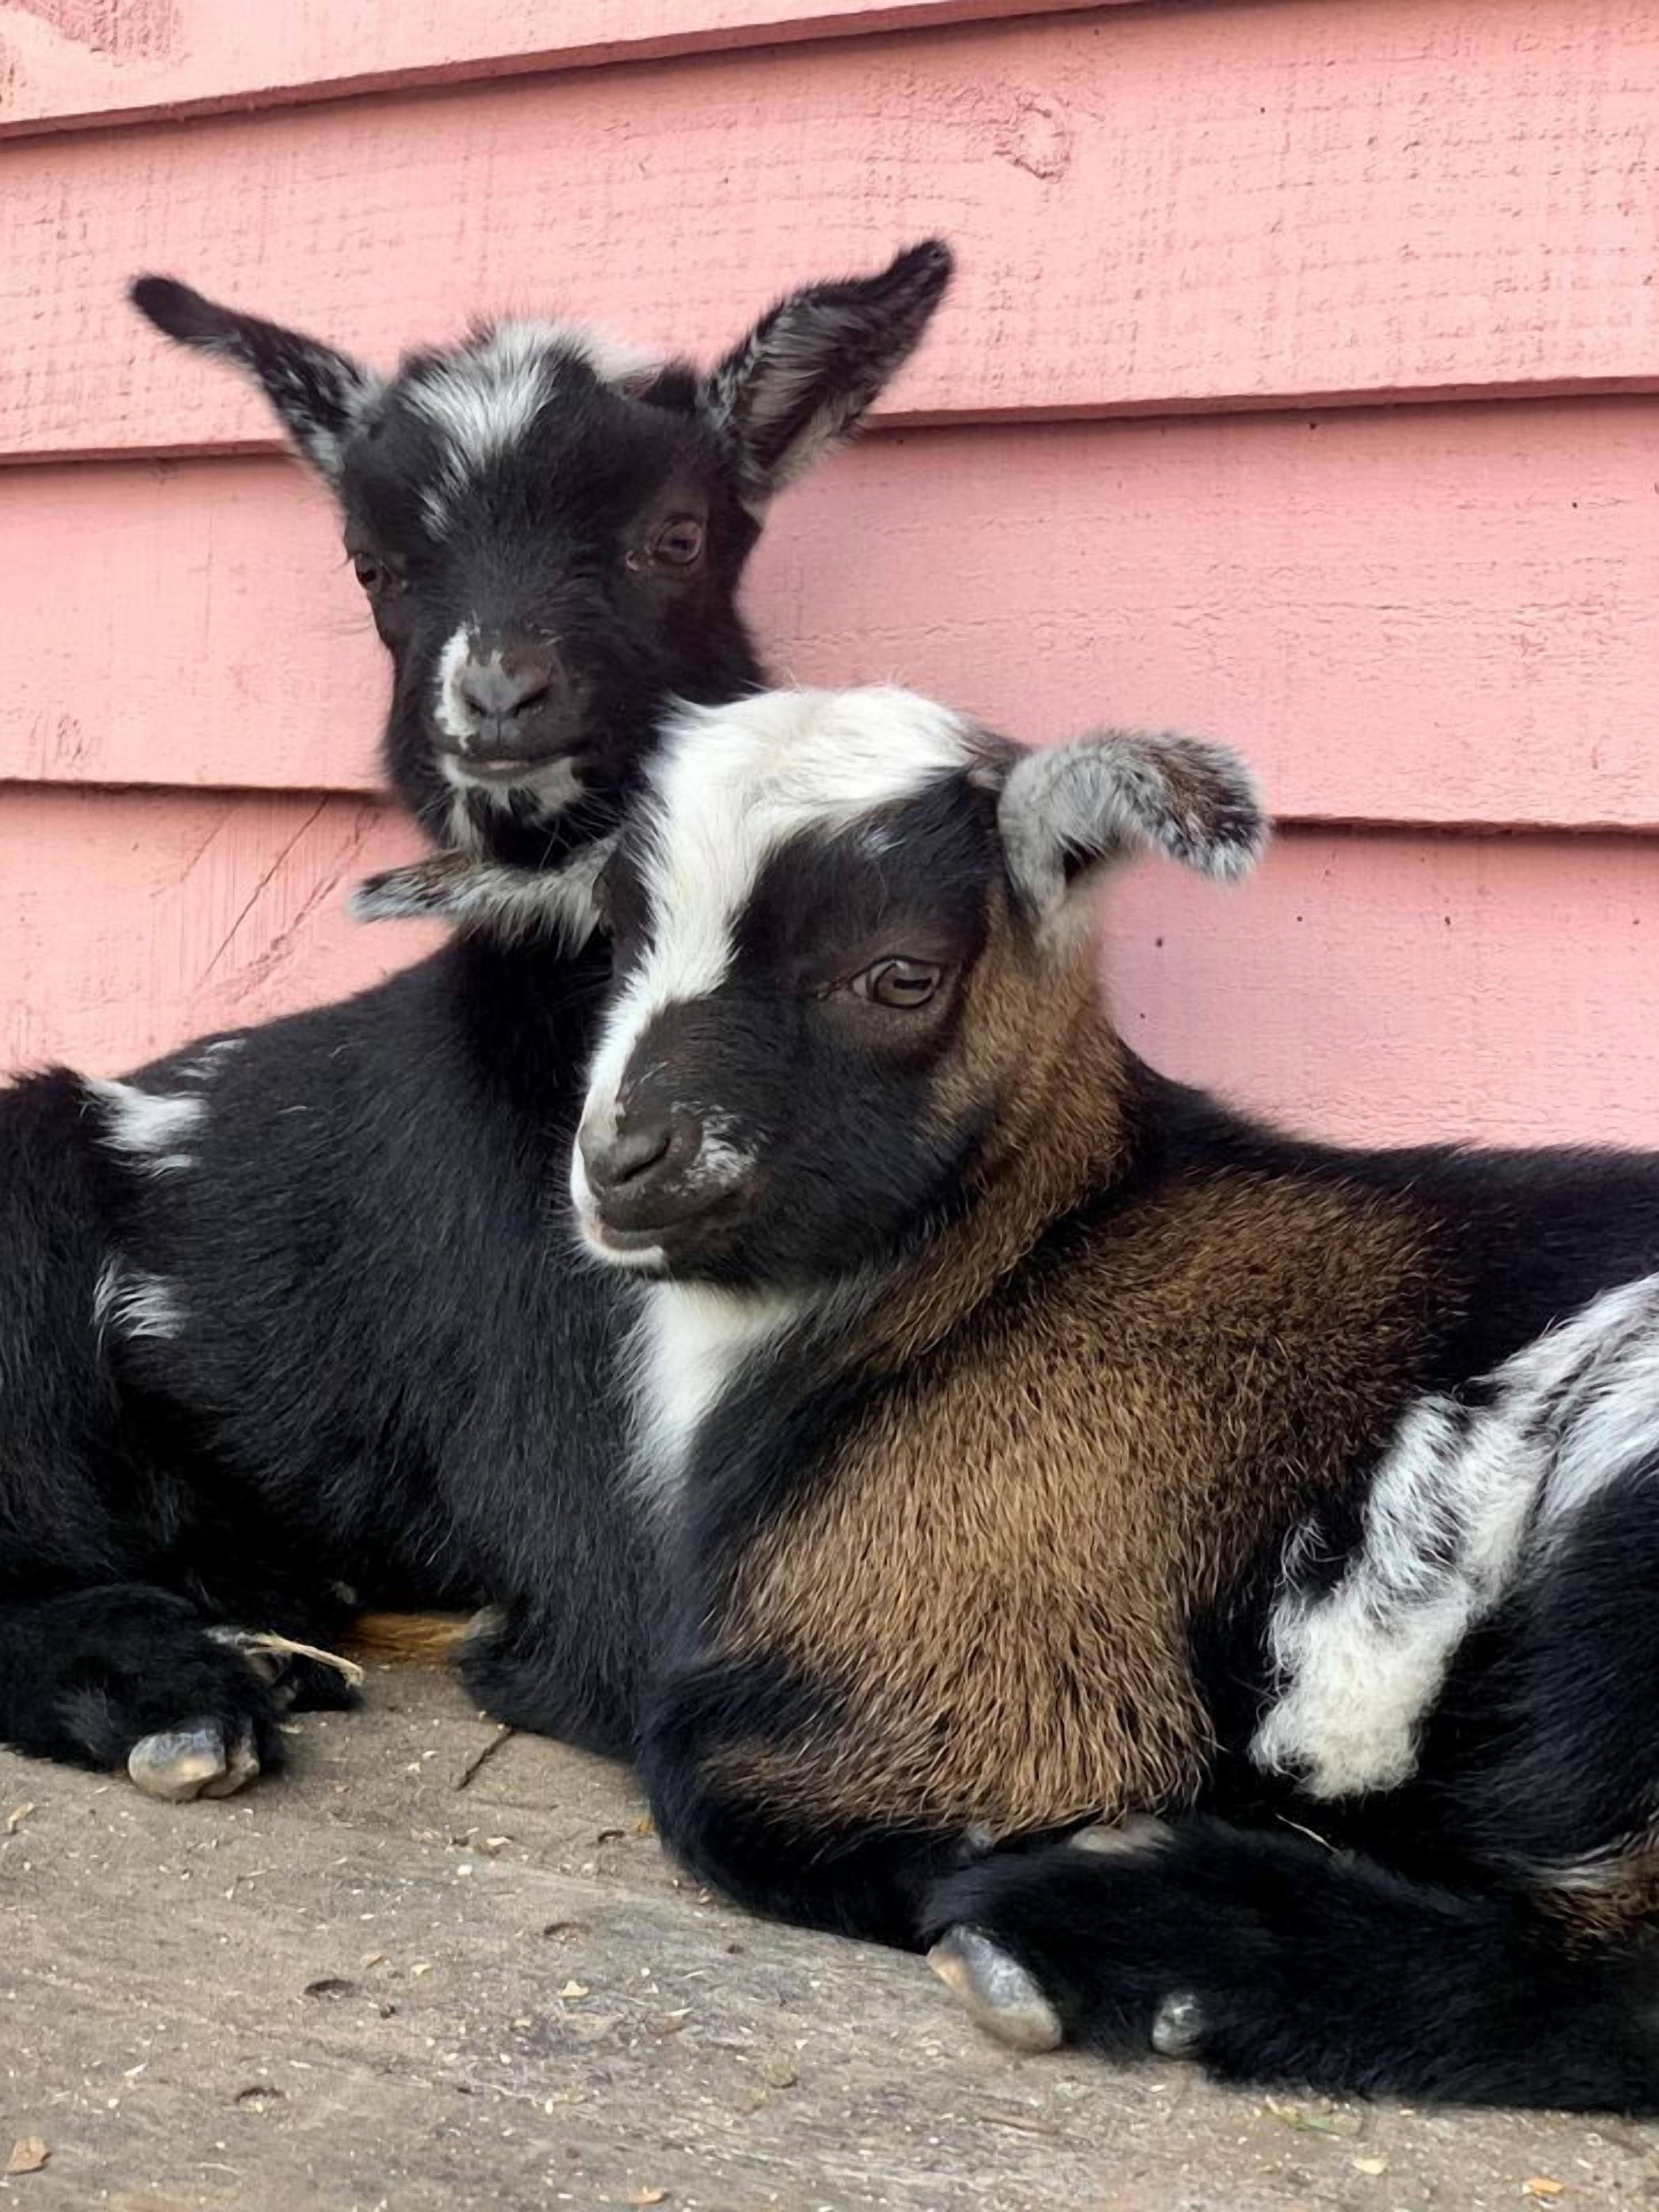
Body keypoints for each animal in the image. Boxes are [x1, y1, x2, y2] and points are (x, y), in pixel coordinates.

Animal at [543, 681, 1659, 2114]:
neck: (1021, 1262)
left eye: (900, 972)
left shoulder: (1039, 1662)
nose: (627, 1162)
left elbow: (693, 1770)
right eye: (620, 932)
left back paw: (1114, 1938)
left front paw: (1019, 1855)